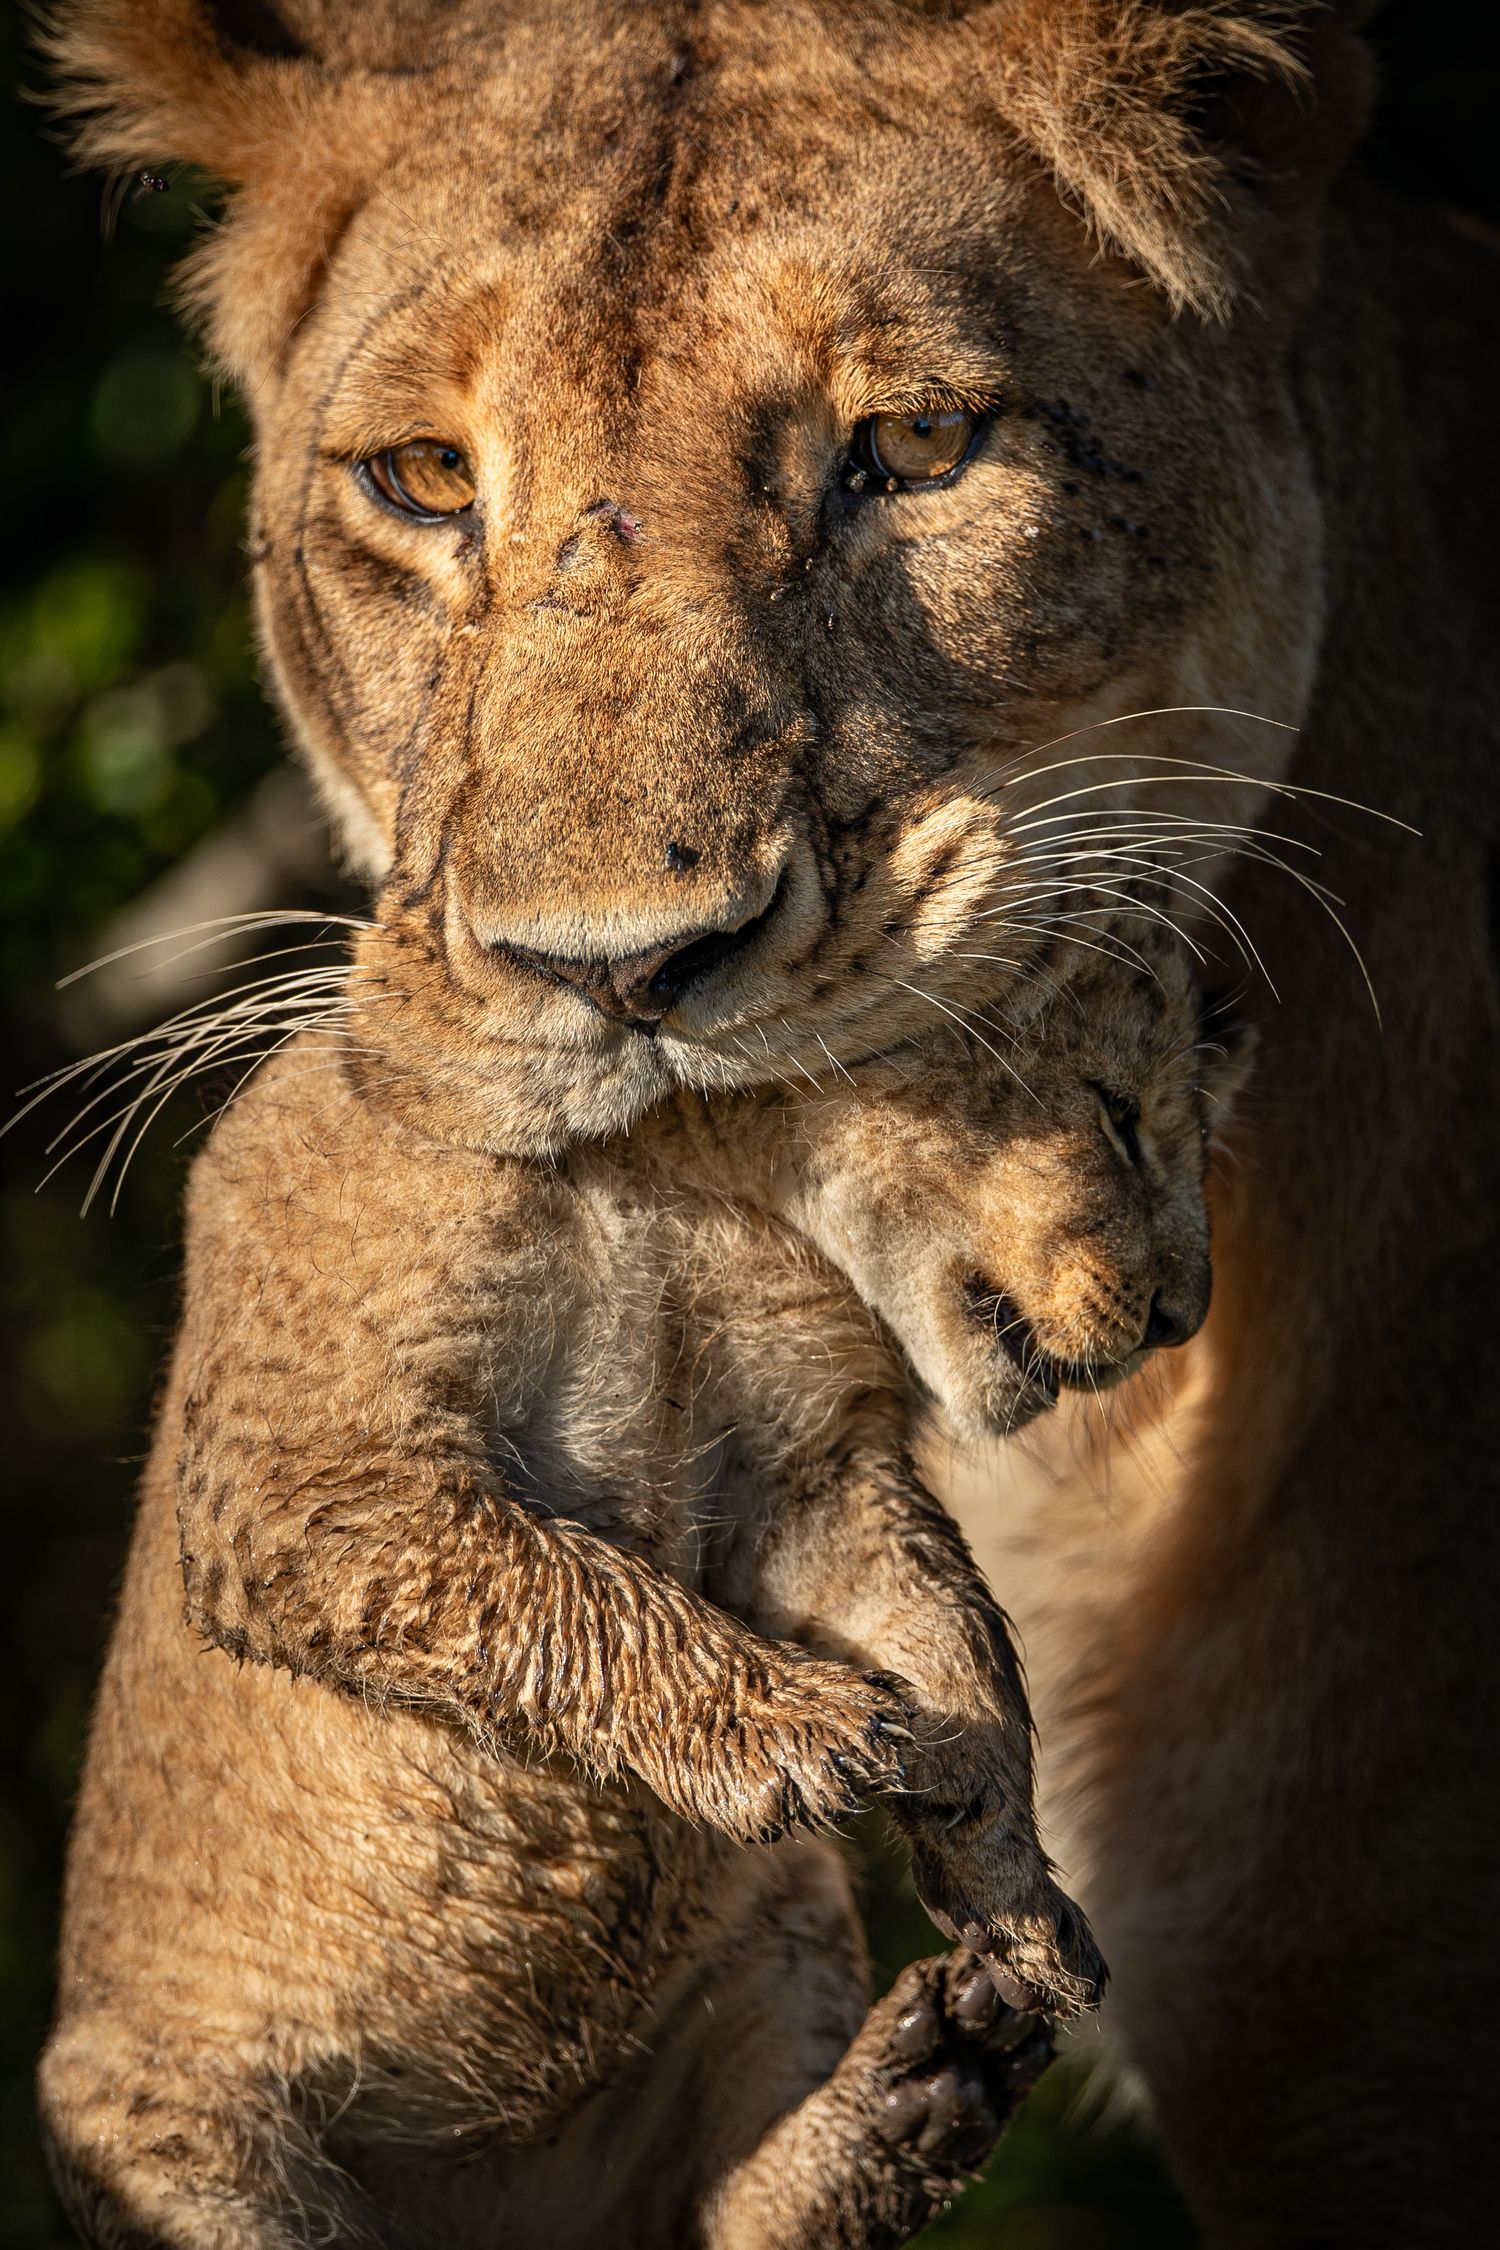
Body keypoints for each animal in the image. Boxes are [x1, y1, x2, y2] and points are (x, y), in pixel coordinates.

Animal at [39, 896, 1237, 2246]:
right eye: (1119, 1116)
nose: (1183, 1317)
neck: (674, 1167)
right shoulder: (308, 1470)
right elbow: (566, 1590)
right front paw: (799, 1729)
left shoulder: (808, 1475)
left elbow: (952, 1635)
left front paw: (1012, 1886)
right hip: (162, 2125)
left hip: (784, 1944)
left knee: (731, 2218)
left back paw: (933, 2083)